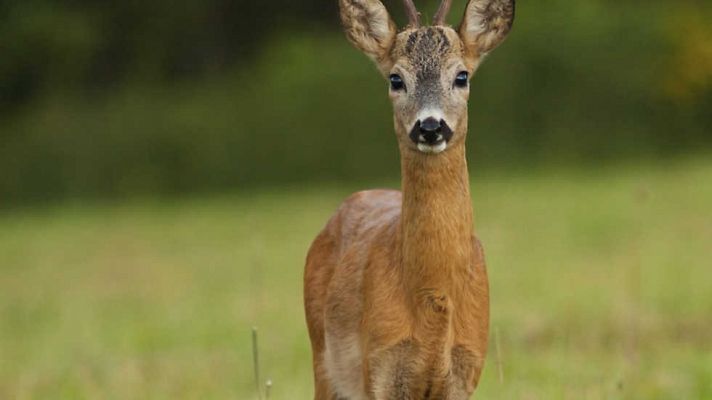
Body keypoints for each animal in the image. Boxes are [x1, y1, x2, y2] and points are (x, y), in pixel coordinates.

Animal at [304, 1, 516, 398]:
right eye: (395, 79)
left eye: (462, 76)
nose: (430, 126)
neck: (432, 298)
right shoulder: (381, 365)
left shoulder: (466, 369)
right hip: (323, 358)